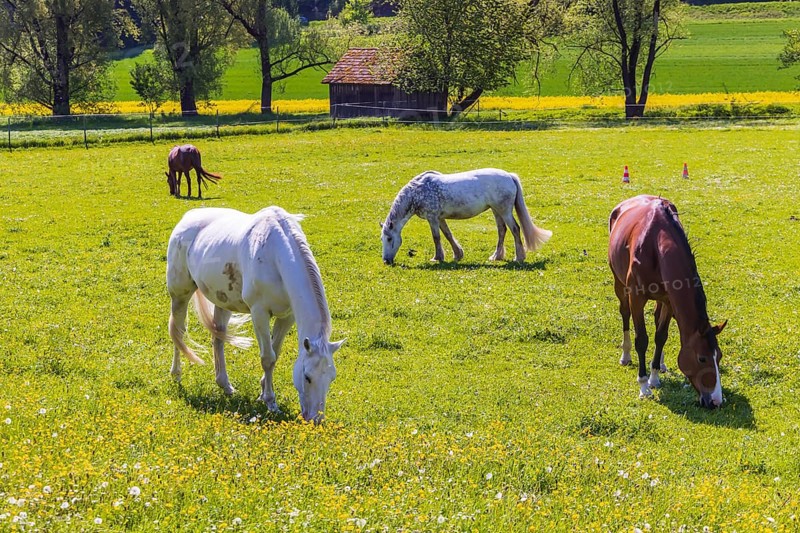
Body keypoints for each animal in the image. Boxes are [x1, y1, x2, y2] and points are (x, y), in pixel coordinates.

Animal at [166, 206, 345, 423]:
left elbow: (275, 354)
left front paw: (262, 392)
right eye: (307, 377)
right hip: (180, 295)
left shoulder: (287, 317)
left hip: (223, 301)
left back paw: (225, 385)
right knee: (178, 331)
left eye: (331, 377)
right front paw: (270, 402)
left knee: (218, 338)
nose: (315, 419)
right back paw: (176, 374)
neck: (275, 257)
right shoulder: (259, 313)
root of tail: (187, 218)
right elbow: (267, 358)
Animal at [380, 168, 552, 265]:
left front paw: (437, 258)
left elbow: (436, 237)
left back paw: (519, 257)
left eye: (389, 238)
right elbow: (448, 234)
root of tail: (509, 176)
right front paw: (458, 254)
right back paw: (496, 256)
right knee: (502, 231)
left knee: (515, 229)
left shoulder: (432, 218)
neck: (417, 191)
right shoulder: (440, 218)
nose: (386, 261)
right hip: (496, 211)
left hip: (504, 211)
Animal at [608, 195, 727, 408]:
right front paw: (644, 386)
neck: (656, 243)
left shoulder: (669, 300)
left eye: (719, 356)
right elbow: (642, 339)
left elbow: (661, 336)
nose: (716, 401)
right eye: (702, 359)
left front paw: (654, 377)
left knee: (657, 321)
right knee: (624, 313)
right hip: (619, 284)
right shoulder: (636, 298)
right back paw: (626, 355)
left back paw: (660, 363)